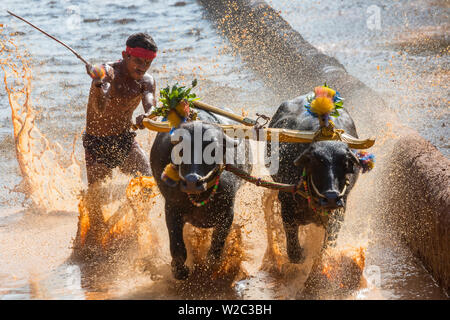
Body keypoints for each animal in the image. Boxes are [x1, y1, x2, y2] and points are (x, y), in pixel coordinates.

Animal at [150, 112, 250, 280]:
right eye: (181, 150)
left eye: (212, 150)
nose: (192, 181)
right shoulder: (171, 209)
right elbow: (177, 247)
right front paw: (180, 271)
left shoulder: (227, 213)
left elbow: (216, 247)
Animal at [268, 94, 360, 262]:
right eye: (316, 162)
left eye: (345, 163)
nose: (331, 198)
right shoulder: (286, 201)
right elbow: (294, 251)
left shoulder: (339, 211)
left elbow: (328, 246)